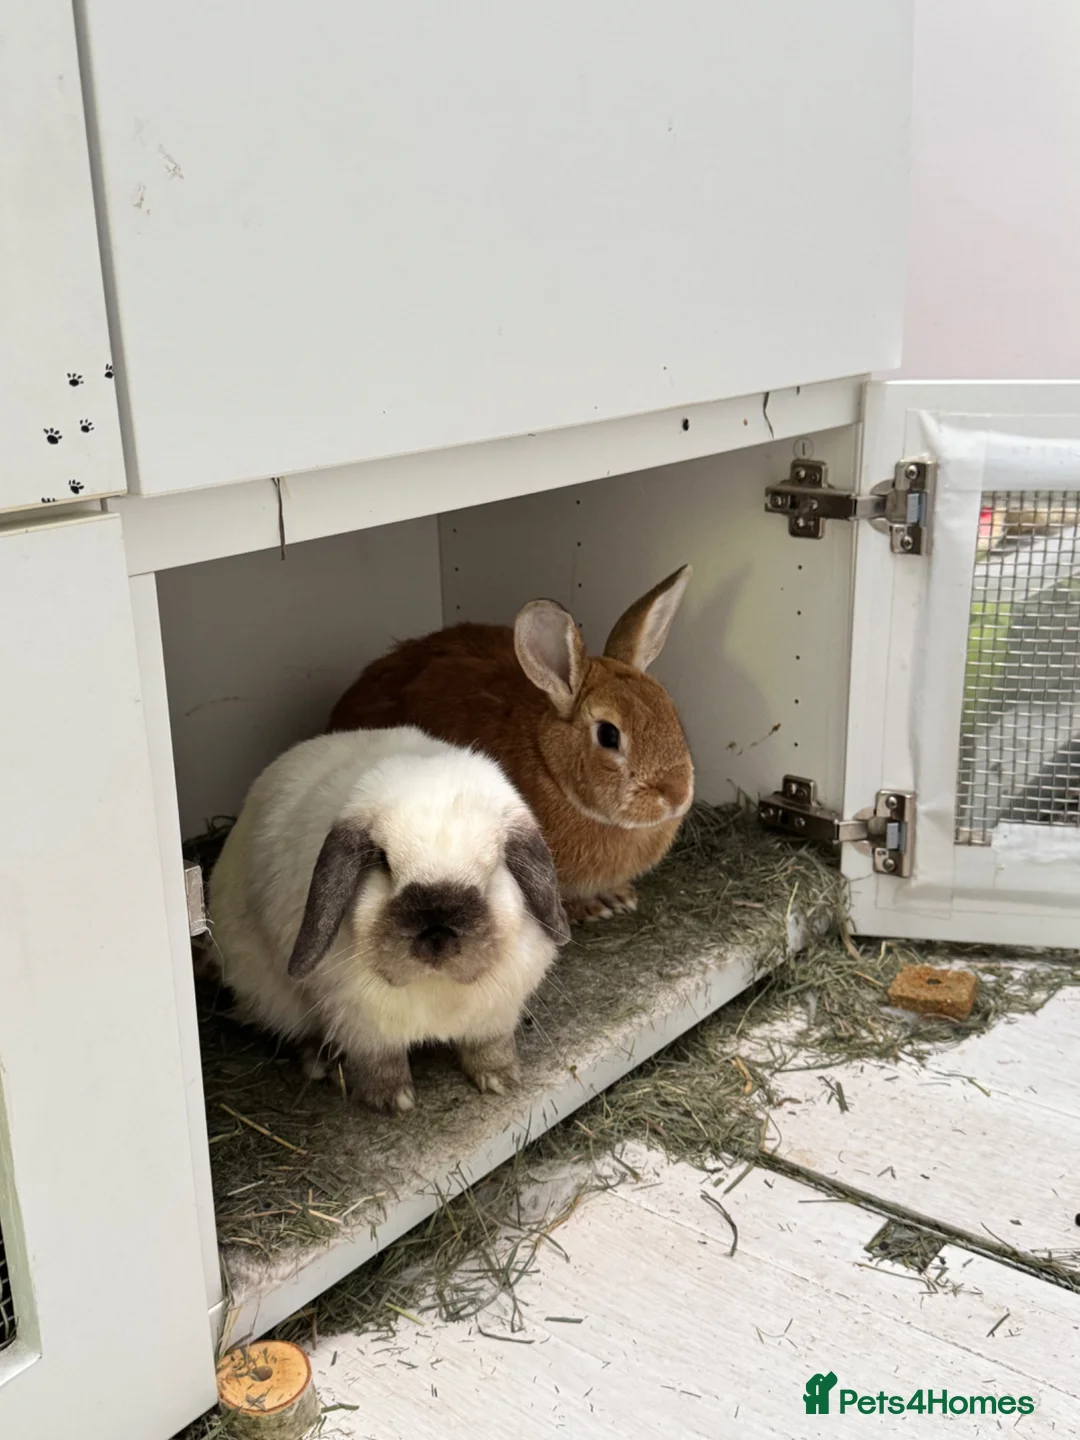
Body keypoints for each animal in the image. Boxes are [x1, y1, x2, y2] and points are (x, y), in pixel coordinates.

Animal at [208, 726, 570, 1114]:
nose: (436, 936)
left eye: (494, 866)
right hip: (274, 997)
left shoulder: (496, 1015)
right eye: (383, 861)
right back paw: (320, 1063)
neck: (434, 986)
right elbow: (379, 1061)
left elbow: (489, 1045)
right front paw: (394, 1101)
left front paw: (501, 1079)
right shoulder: (361, 1024)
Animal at [328, 566, 694, 925]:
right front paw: (591, 909)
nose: (676, 795)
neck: (551, 767)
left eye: (671, 711)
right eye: (608, 735)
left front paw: (619, 897)